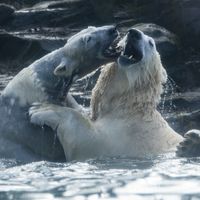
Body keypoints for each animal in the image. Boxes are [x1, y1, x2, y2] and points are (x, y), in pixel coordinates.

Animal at [28, 28, 199, 161]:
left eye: (151, 43)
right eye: (127, 35)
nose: (134, 33)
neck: (128, 105)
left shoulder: (128, 135)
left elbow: (88, 140)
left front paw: (42, 109)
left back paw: (190, 144)